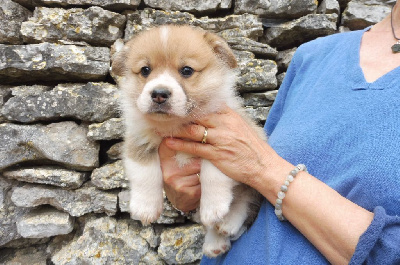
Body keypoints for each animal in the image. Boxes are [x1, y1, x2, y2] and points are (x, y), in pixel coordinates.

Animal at [111, 24, 266, 256]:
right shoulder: (138, 141)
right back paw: (215, 244)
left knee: (245, 197)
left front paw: (213, 207)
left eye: (186, 70)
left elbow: (213, 174)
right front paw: (145, 208)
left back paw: (227, 223)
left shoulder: (223, 144)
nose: (159, 93)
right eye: (145, 70)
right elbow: (145, 174)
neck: (176, 125)